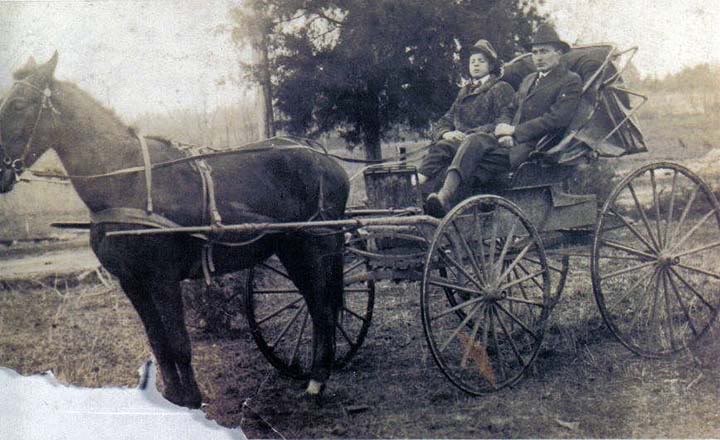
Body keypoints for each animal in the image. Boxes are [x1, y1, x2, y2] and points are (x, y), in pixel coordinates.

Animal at [0, 53, 348, 408]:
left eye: (18, 104)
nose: (1, 173)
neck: (129, 184)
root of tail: (321, 156)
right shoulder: (132, 282)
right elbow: (160, 343)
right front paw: (172, 396)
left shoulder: (163, 279)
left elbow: (179, 344)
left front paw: (191, 399)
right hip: (292, 250)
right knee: (316, 306)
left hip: (314, 248)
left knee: (322, 309)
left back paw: (317, 381)